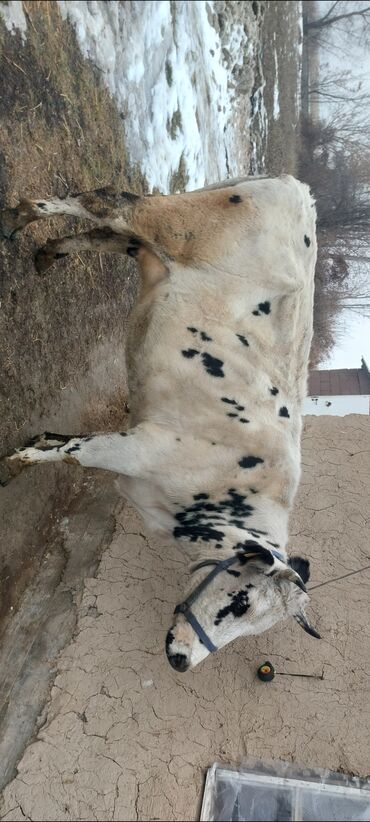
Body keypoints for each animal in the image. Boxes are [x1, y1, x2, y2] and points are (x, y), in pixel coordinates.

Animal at [0, 174, 318, 668]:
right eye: (241, 601)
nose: (182, 661)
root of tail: (297, 188)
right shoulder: (137, 447)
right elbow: (72, 453)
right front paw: (14, 462)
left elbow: (62, 442)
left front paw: (34, 443)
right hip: (178, 224)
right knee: (109, 203)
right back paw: (22, 216)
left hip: (159, 247)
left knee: (112, 234)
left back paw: (49, 252)